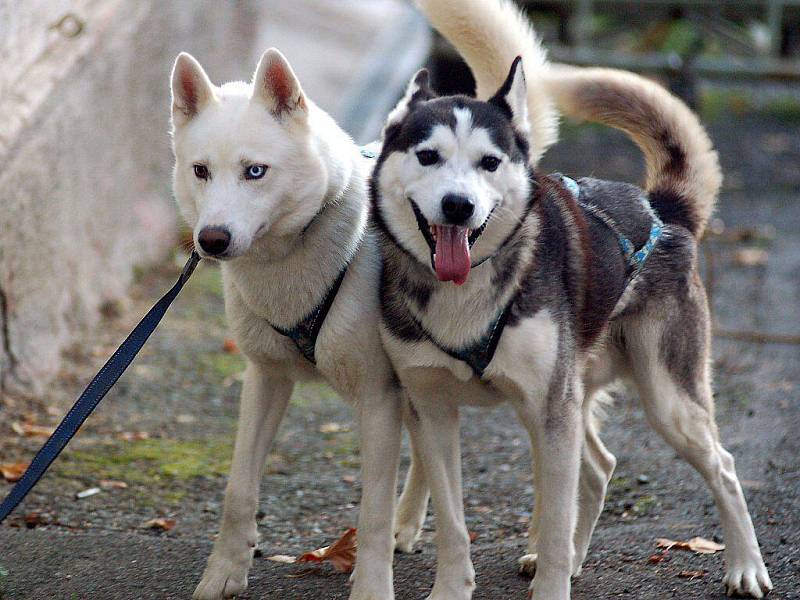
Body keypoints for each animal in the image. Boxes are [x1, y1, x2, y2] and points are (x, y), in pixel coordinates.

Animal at [376, 1, 776, 600]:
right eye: (428, 157)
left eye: (489, 162)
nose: (458, 205)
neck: (466, 295)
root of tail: (663, 208)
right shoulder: (431, 410)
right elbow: (451, 524)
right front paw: (452, 587)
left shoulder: (552, 410)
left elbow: (557, 517)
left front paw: (553, 574)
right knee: (599, 468)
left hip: (663, 400)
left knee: (722, 466)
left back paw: (745, 566)